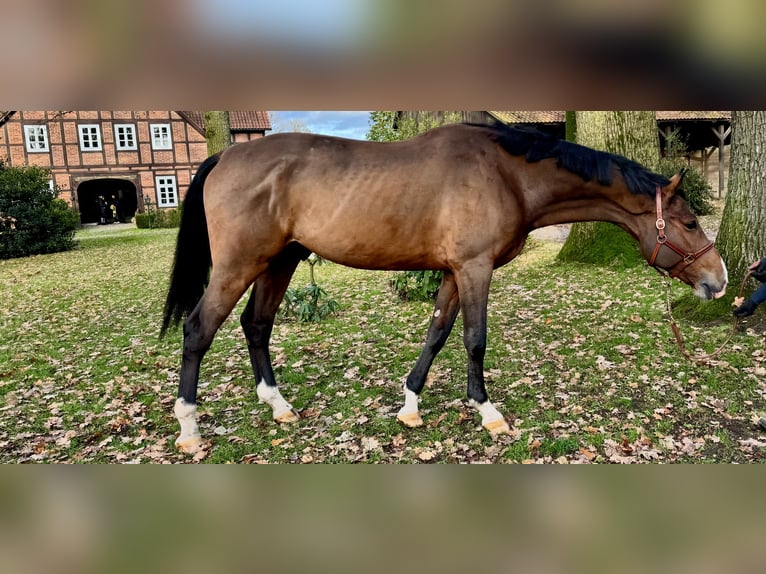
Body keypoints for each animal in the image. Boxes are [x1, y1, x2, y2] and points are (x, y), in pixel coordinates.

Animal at [164, 125, 732, 454]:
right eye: (688, 222)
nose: (719, 281)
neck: (506, 174)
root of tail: (224, 158)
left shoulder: (454, 273)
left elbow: (436, 334)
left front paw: (411, 404)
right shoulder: (475, 268)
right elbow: (474, 340)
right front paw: (489, 413)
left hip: (279, 261)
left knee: (256, 325)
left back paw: (278, 405)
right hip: (239, 264)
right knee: (198, 329)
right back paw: (189, 428)